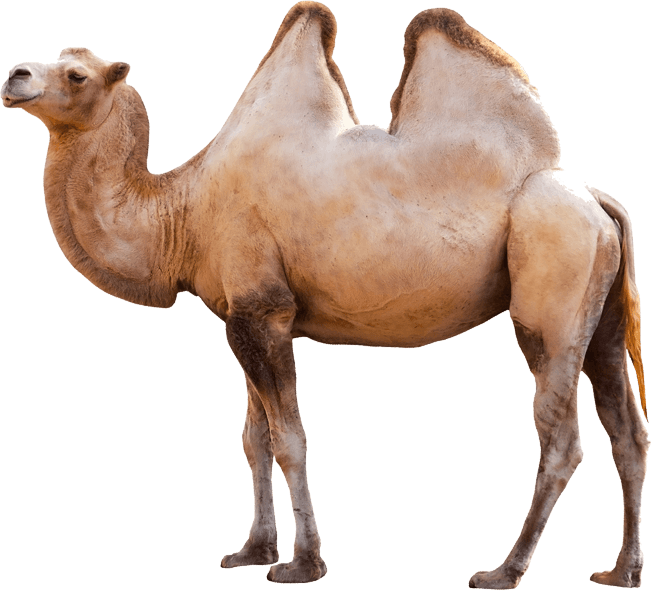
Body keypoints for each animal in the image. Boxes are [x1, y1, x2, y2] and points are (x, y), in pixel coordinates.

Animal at [1, 1, 647, 588]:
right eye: (58, 60)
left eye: (77, 75)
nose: (15, 76)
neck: (182, 212)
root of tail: (596, 203)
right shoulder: (244, 316)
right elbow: (253, 439)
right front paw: (252, 551)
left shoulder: (263, 310)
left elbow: (290, 439)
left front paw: (301, 564)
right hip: (603, 318)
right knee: (627, 430)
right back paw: (621, 571)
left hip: (549, 295)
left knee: (560, 437)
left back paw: (504, 570)